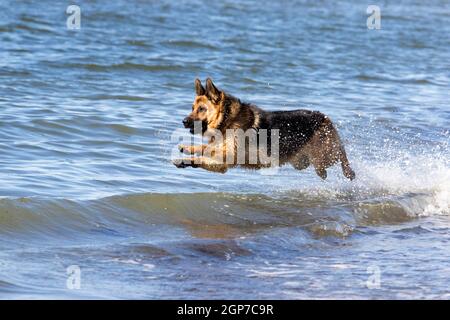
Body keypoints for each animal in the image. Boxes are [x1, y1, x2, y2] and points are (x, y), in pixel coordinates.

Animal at [175, 77, 356, 180]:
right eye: (192, 108)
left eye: (201, 109)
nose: (183, 121)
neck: (227, 119)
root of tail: (325, 117)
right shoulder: (221, 158)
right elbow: (204, 148)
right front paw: (188, 150)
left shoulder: (227, 156)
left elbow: (204, 154)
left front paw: (187, 157)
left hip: (325, 156)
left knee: (342, 155)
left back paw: (348, 170)